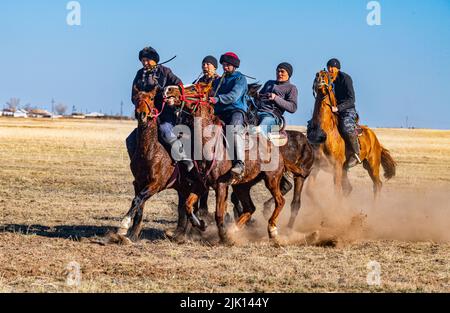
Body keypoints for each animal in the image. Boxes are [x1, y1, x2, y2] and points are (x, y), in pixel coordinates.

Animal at [116, 87, 207, 241]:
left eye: (152, 98)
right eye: (136, 98)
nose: (141, 114)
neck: (149, 151)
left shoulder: (156, 184)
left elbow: (137, 200)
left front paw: (124, 225)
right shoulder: (138, 183)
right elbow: (139, 205)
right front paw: (133, 235)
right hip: (183, 188)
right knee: (186, 208)